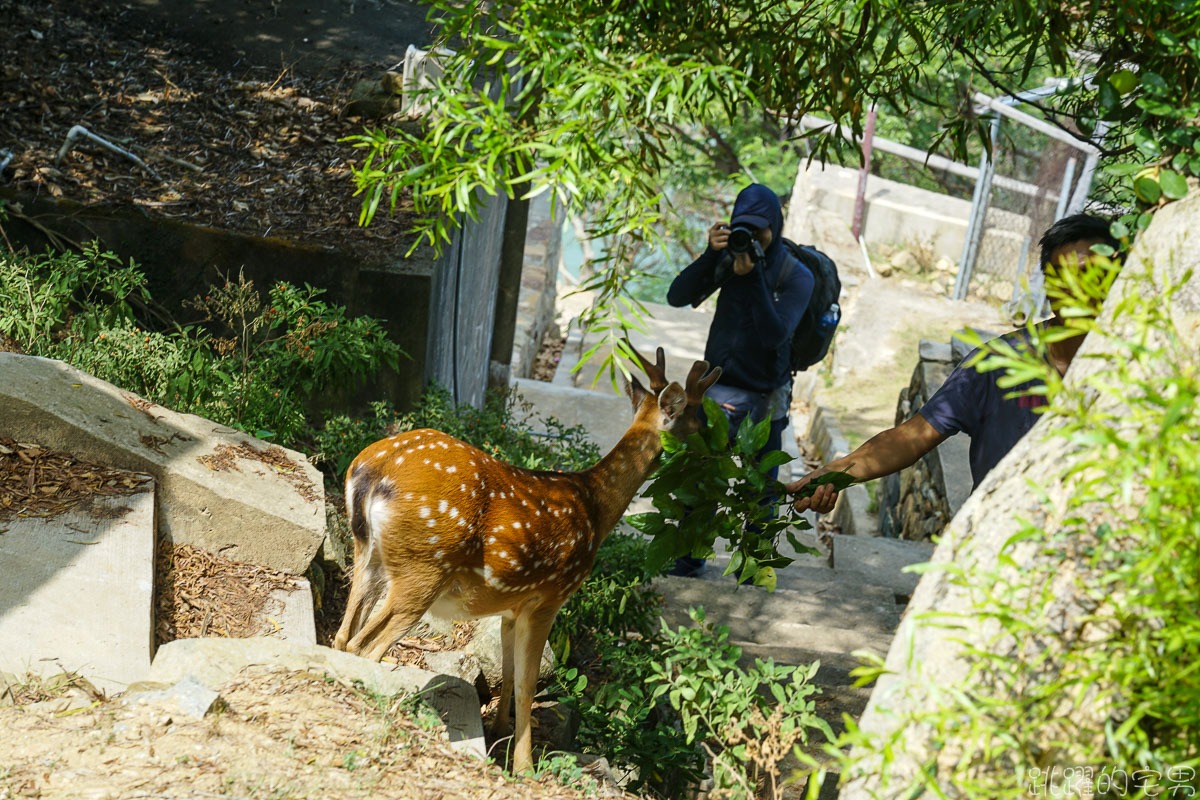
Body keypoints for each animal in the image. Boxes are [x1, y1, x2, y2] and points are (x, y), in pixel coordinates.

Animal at [331, 347, 720, 772]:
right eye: (700, 419)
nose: (720, 448)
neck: (595, 509)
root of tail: (374, 470)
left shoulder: (510, 606)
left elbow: (507, 670)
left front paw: (499, 732)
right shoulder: (549, 597)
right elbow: (527, 682)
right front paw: (525, 767)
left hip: (368, 553)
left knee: (343, 634)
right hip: (424, 567)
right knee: (366, 645)